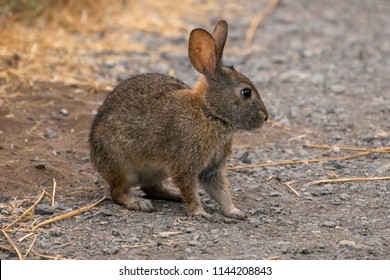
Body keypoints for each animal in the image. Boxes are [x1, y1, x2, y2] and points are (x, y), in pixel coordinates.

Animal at [90, 20, 268, 220]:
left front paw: (235, 212)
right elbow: (190, 188)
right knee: (117, 192)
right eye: (246, 92)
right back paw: (139, 203)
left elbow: (222, 191)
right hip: (122, 166)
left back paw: (173, 195)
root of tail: (94, 154)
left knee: (150, 187)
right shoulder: (184, 165)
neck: (209, 113)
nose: (266, 117)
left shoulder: (211, 170)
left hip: (156, 171)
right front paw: (199, 213)